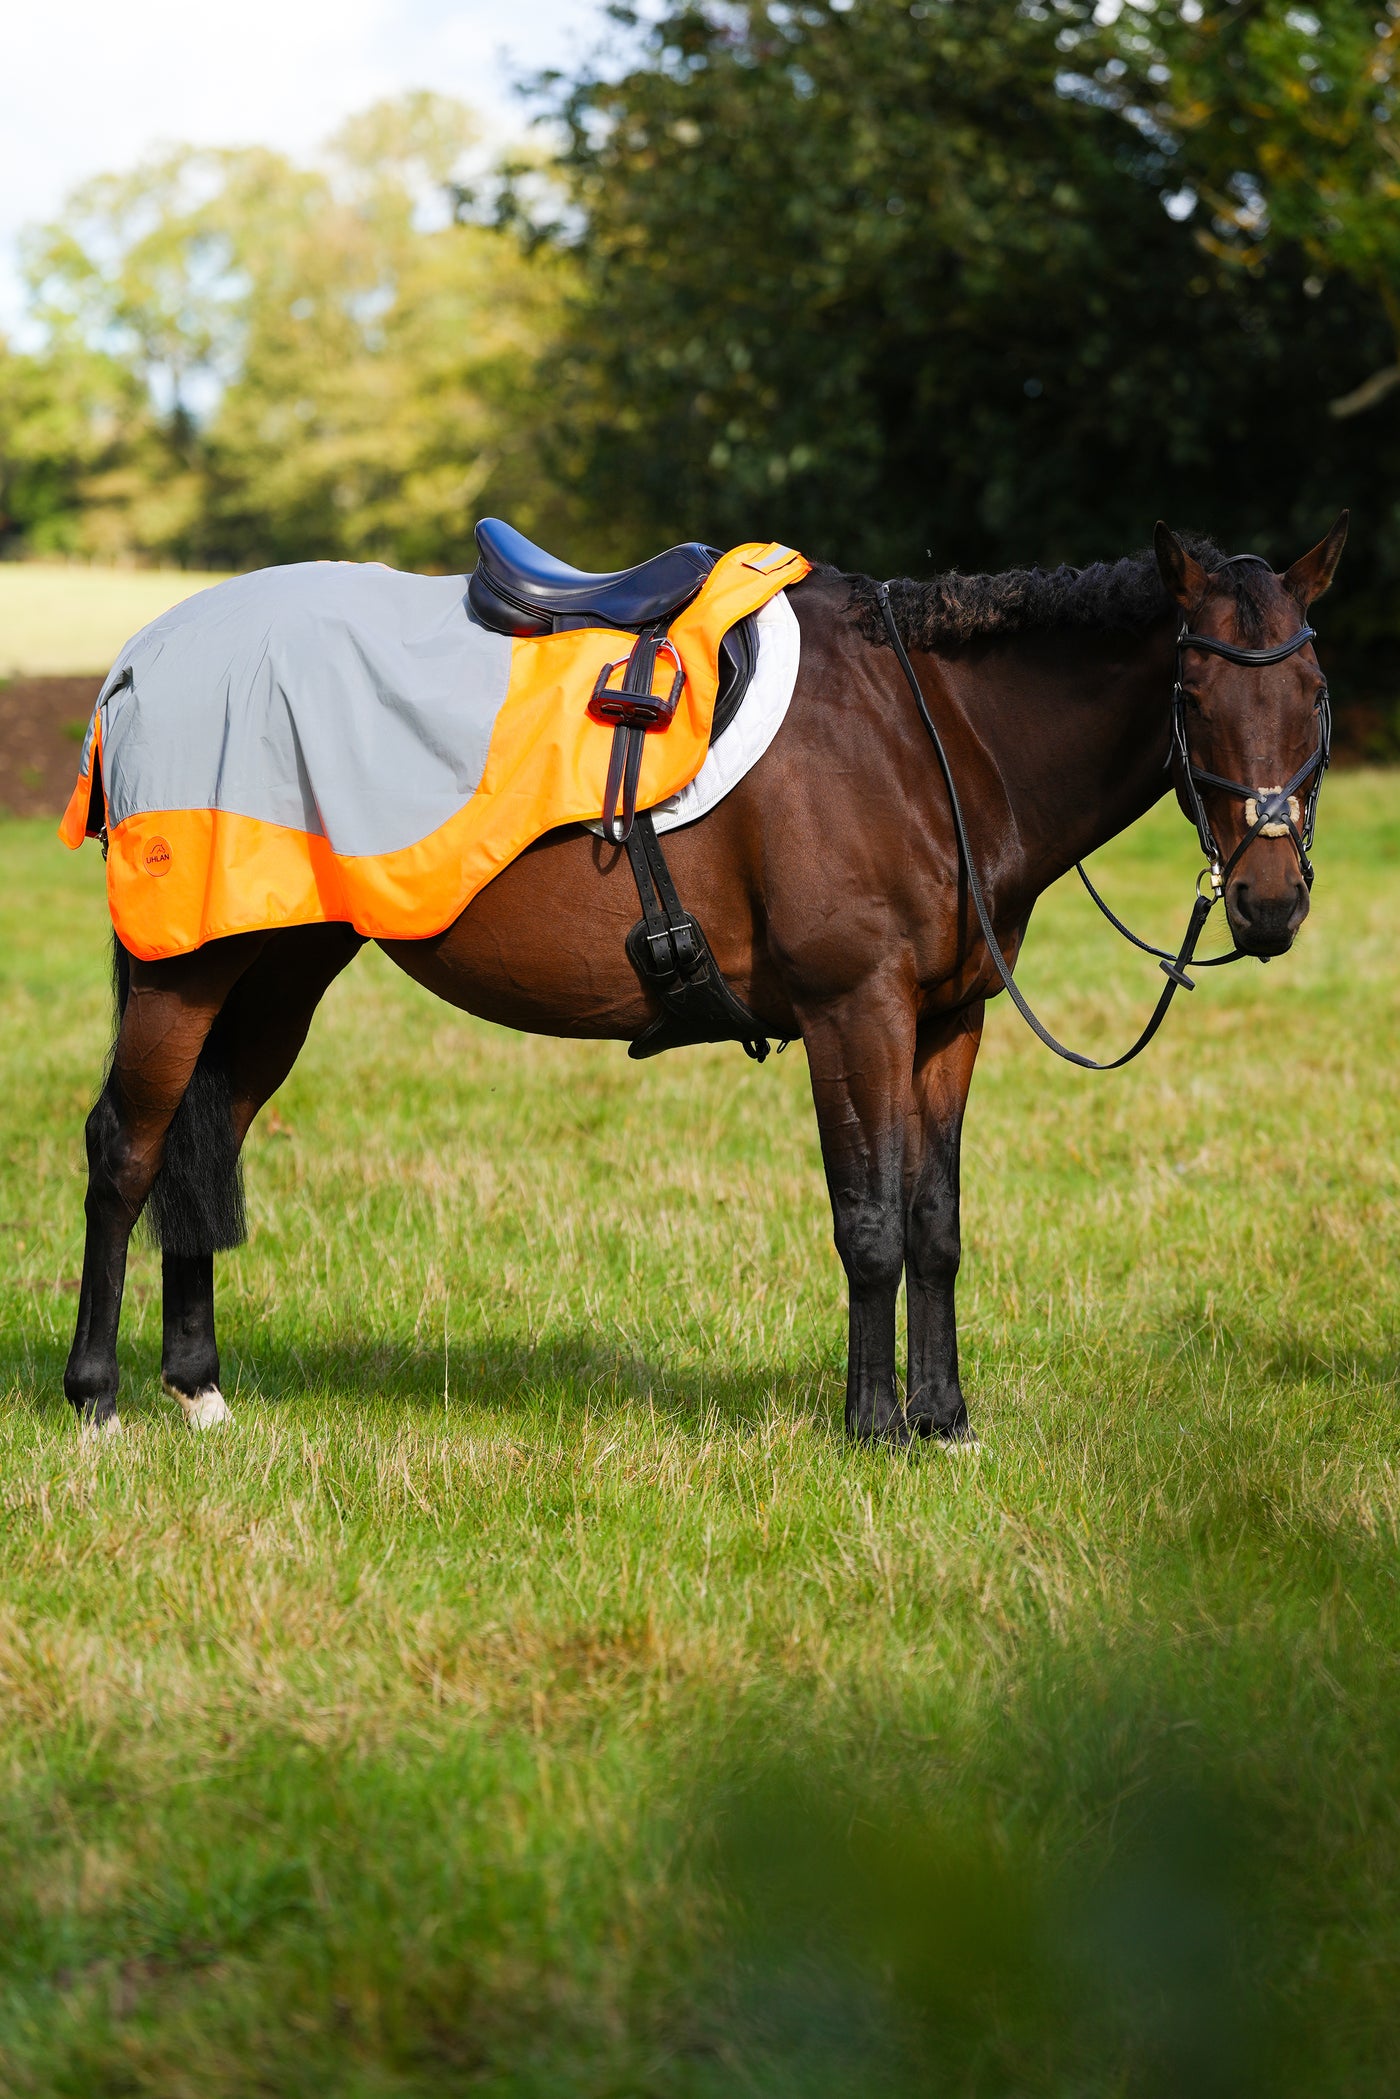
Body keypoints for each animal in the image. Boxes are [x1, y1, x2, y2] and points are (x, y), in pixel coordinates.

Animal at [62, 518, 1346, 1443]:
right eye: (1192, 696)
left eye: (1313, 696)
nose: (1268, 902)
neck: (922, 733)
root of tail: (140, 658)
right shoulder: (854, 1014)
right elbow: (868, 1221)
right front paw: (873, 1424)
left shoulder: (945, 1023)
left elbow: (934, 1224)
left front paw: (944, 1418)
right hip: (188, 967)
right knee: (127, 1147)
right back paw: (97, 1395)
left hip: (278, 964)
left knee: (205, 1137)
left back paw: (198, 1386)